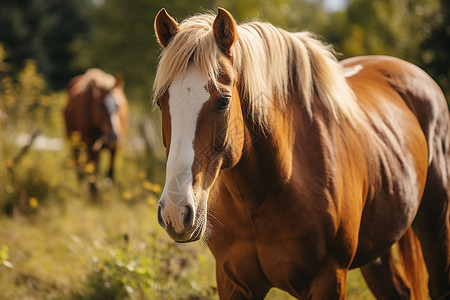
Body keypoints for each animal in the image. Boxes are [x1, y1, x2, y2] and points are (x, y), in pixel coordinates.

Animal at [153, 7, 448, 300]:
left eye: (224, 101)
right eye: (160, 102)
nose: (175, 212)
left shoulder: (328, 278)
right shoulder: (233, 282)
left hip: (434, 221)